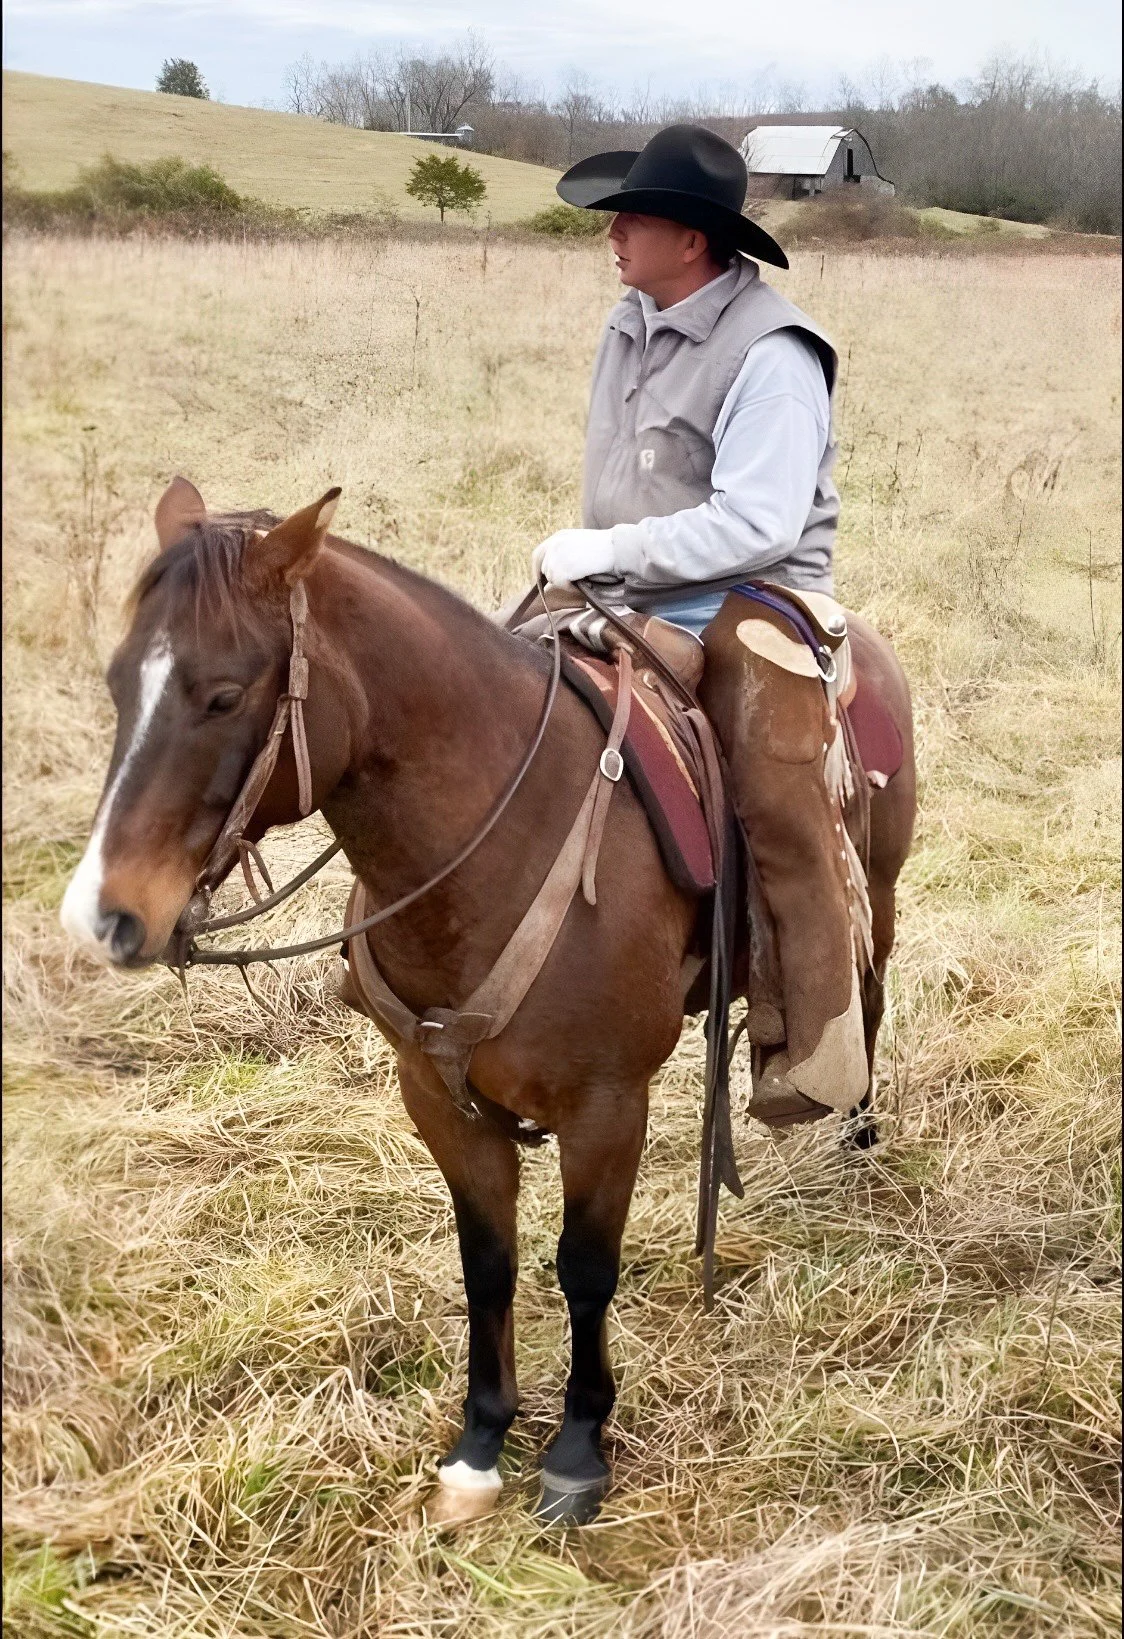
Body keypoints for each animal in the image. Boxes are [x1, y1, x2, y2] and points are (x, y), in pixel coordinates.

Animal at [60, 477, 916, 1526]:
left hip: (875, 898)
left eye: (224, 694)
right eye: (116, 683)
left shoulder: (606, 1106)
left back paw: (857, 1131)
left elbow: (584, 1267)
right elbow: (489, 1262)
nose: (102, 917)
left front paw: (579, 1445)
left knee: (867, 994)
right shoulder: (437, 1096)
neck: (492, 843)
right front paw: (481, 1443)